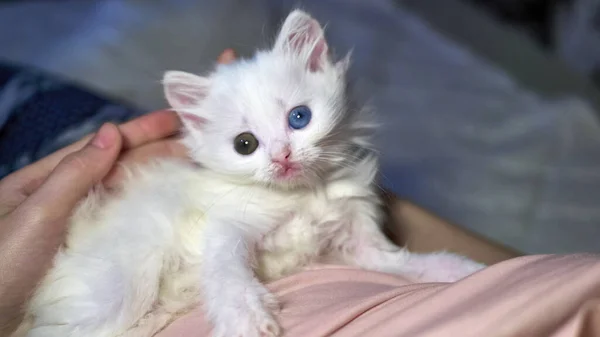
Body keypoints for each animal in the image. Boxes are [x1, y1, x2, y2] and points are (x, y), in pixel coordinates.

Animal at [16, 9, 486, 336]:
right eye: (245, 145)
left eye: (299, 118)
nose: (281, 157)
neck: (302, 194)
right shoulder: (225, 228)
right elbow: (229, 276)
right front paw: (246, 319)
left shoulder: (355, 239)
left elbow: (398, 262)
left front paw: (455, 271)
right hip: (118, 289)